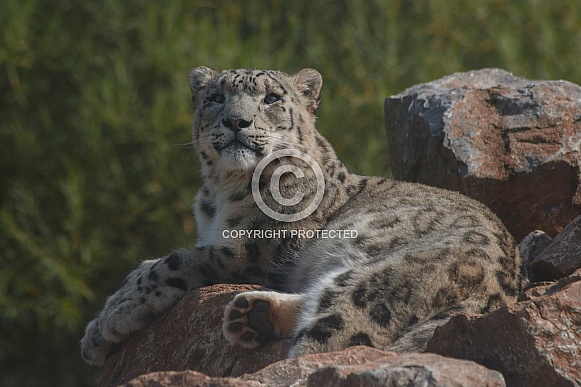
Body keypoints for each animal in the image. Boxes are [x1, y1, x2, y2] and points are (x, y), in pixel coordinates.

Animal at [80, 65, 520, 366]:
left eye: (272, 98)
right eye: (216, 98)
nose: (236, 121)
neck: (219, 193)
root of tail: (500, 291)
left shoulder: (250, 251)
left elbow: (172, 262)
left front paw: (106, 325)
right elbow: (145, 265)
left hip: (379, 281)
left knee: (326, 345)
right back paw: (252, 315)